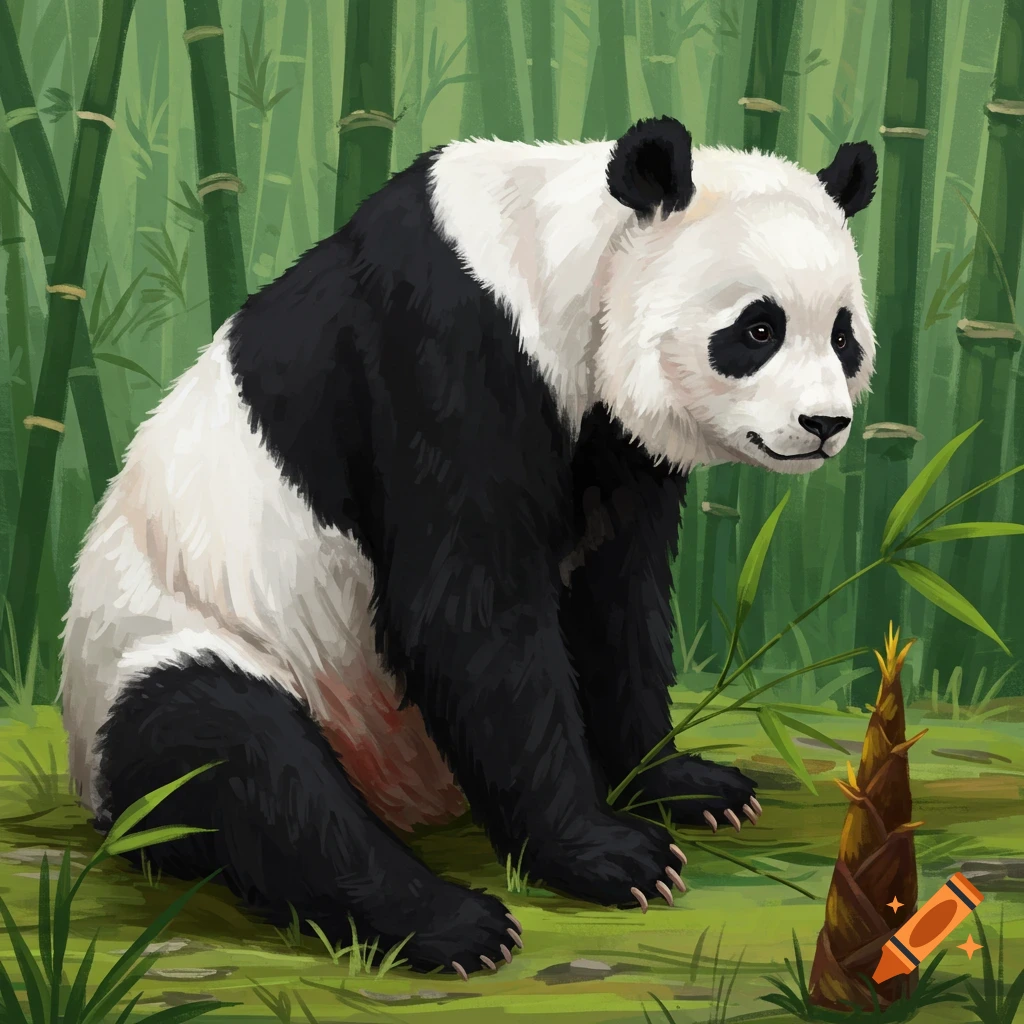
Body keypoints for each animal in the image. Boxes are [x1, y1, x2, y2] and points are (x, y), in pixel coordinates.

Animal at [61, 117, 877, 978]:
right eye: (758, 328)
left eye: (843, 335)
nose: (824, 425)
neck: (563, 263)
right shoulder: (443, 354)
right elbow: (468, 610)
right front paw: (610, 854)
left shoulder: (611, 442)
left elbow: (616, 599)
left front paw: (686, 785)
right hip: (162, 656)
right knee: (240, 759)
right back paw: (452, 924)